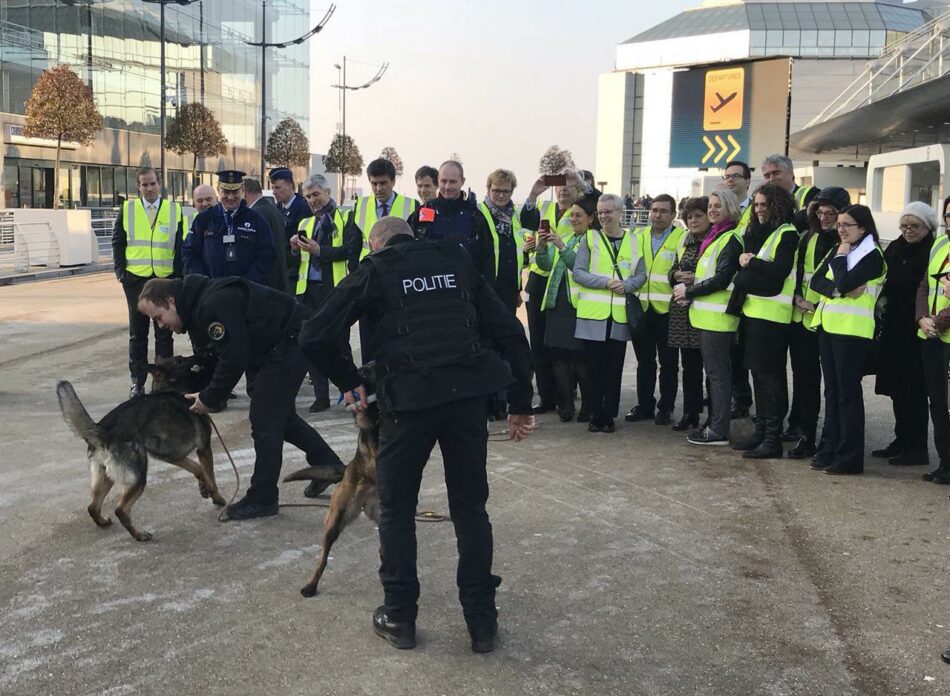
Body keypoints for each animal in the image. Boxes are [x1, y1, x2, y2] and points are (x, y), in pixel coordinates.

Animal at [56, 356, 227, 540]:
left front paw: (204, 488)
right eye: (180, 360)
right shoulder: (203, 448)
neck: (173, 389)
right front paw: (217, 498)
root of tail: (104, 431)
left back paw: (103, 522)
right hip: (138, 477)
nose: (204, 355)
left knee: (92, 507)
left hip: (105, 477)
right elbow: (211, 476)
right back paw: (139, 535)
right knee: (121, 510)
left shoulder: (174, 457)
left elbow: (197, 469)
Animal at [284, 364, 382, 600]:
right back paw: (310, 585)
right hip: (335, 521)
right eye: (364, 372)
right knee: (322, 559)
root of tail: (347, 470)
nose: (373, 365)